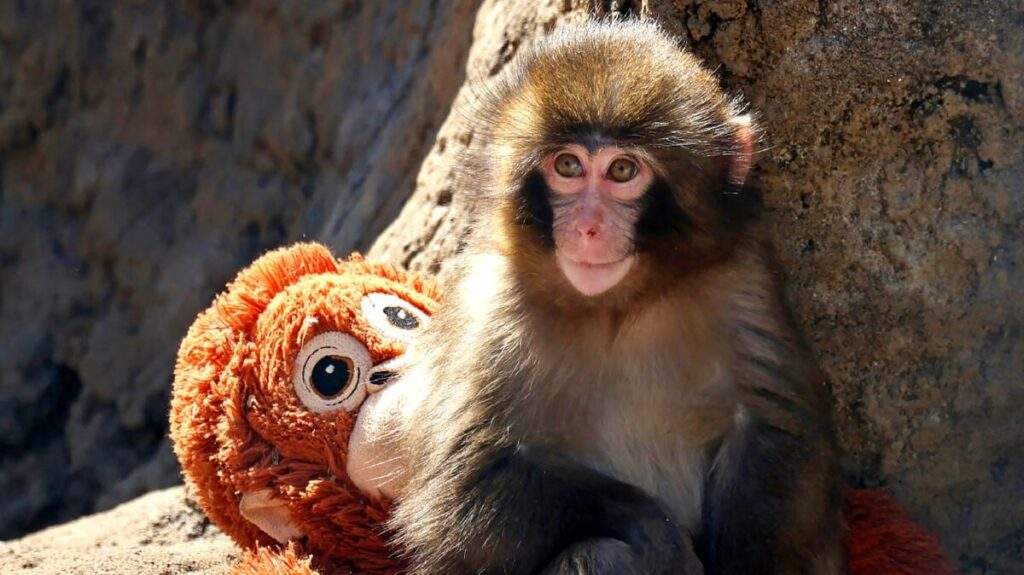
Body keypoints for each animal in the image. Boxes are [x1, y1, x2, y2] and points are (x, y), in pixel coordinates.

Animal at [379, 19, 844, 575]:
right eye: (567, 166)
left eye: (622, 171)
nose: (587, 228)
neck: (617, 307)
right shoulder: (488, 309)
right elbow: (463, 493)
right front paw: (655, 530)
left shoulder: (741, 279)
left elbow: (776, 432)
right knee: (599, 554)